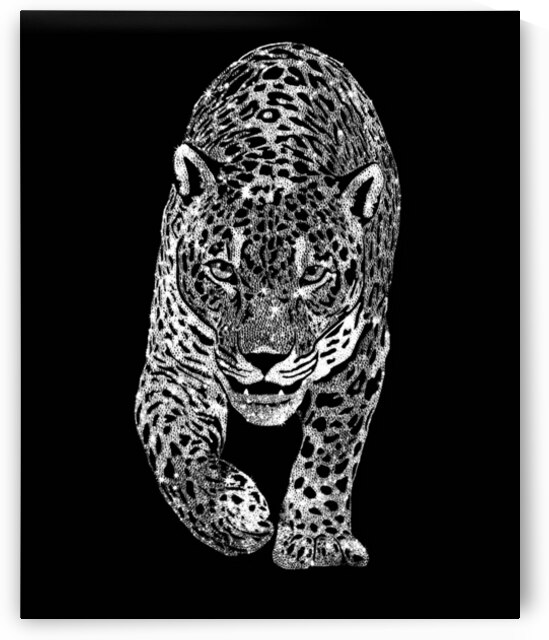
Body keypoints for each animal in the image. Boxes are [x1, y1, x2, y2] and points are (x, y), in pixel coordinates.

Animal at [134, 42, 401, 569]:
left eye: (312, 275)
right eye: (223, 270)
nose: (264, 358)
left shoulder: (363, 353)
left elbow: (331, 447)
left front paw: (315, 539)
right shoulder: (174, 365)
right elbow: (172, 441)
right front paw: (231, 515)